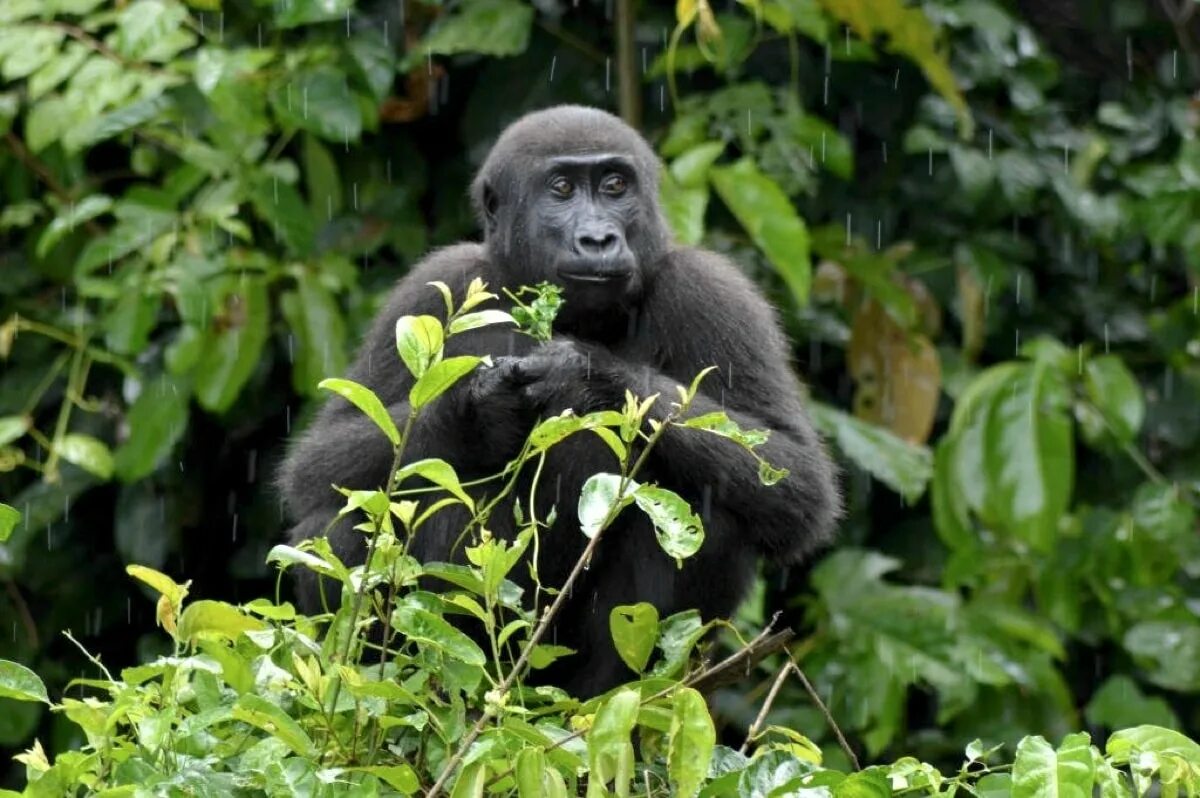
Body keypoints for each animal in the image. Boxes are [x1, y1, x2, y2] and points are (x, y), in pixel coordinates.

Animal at [280, 107, 844, 696]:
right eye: (563, 188)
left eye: (615, 186)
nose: (598, 238)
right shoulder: (434, 284)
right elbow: (320, 465)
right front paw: (477, 414)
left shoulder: (712, 289)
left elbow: (794, 478)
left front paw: (583, 373)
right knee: (342, 518)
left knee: (712, 508)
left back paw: (625, 694)